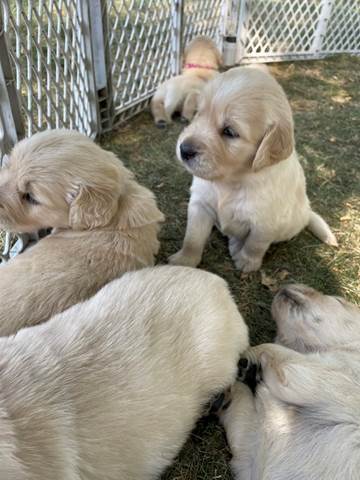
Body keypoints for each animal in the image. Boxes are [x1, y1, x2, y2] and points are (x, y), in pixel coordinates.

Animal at [169, 65, 338, 272]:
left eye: (229, 131)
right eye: (198, 113)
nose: (184, 149)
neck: (231, 180)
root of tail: (306, 212)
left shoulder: (265, 222)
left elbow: (255, 244)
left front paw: (247, 262)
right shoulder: (199, 203)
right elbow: (192, 237)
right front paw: (183, 261)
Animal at [219, 284, 360, 480]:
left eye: (339, 300)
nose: (287, 285)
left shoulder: (333, 371)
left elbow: (274, 351)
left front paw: (249, 357)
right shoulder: (251, 452)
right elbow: (241, 408)